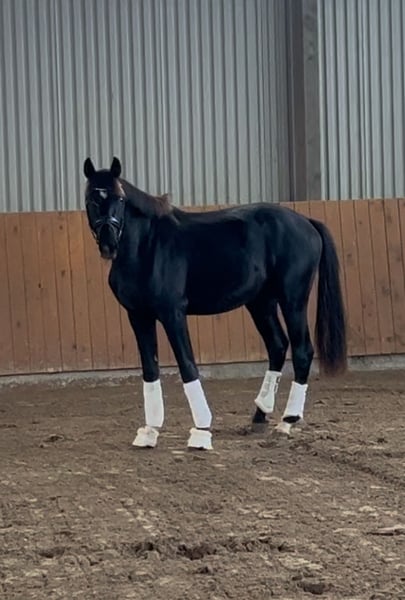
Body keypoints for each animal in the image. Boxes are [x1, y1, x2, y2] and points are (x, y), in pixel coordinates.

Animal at [83, 157, 347, 450]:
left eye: (120, 197)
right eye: (91, 198)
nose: (108, 244)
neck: (147, 248)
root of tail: (307, 222)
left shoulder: (172, 313)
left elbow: (187, 365)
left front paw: (201, 431)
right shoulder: (139, 316)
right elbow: (150, 369)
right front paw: (149, 432)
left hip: (293, 300)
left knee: (302, 350)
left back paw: (287, 421)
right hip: (261, 303)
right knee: (278, 346)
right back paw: (259, 417)